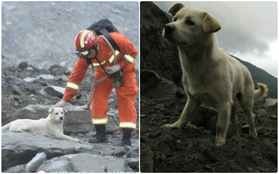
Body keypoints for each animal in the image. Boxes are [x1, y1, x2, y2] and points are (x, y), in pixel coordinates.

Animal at [163, 3, 270, 146]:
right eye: (175, 19)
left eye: (190, 22)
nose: (167, 27)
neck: (197, 64)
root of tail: (245, 68)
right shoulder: (193, 100)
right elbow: (184, 115)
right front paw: (174, 126)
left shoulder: (224, 104)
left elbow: (220, 125)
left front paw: (218, 144)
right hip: (233, 106)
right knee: (235, 121)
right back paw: (236, 136)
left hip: (246, 102)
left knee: (250, 118)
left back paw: (253, 134)